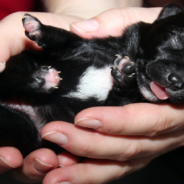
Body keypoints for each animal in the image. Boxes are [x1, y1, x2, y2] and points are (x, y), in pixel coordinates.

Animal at [0, 3, 184, 156]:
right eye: (175, 38)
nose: (177, 81)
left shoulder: (110, 107)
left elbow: (119, 99)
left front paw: (125, 77)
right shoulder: (83, 47)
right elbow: (64, 38)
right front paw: (38, 28)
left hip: (22, 129)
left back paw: (43, 80)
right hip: (22, 63)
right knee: (6, 81)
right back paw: (39, 79)